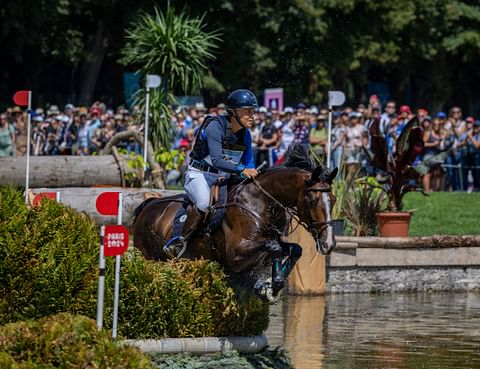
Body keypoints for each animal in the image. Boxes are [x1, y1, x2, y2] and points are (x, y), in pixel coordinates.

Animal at [133, 164, 338, 300]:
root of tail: (148, 205)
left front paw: (271, 284)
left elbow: (294, 249)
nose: (328, 243)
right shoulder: (235, 255)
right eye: (312, 200)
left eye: (334, 199)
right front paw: (273, 283)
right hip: (149, 257)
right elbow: (275, 247)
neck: (261, 201)